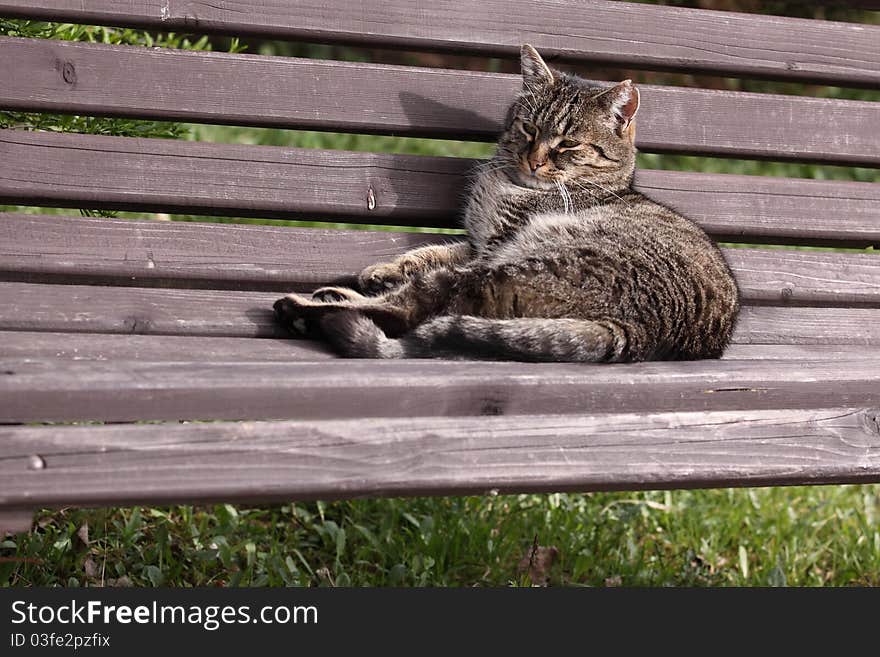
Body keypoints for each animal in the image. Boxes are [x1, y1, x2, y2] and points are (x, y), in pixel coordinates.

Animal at [272, 44, 740, 364]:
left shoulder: (495, 246)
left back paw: (304, 309)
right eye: (529, 127)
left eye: (568, 144)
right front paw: (383, 269)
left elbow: (431, 266)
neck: (510, 184)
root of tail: (646, 332)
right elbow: (431, 251)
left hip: (512, 268)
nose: (534, 159)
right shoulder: (479, 243)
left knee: (412, 308)